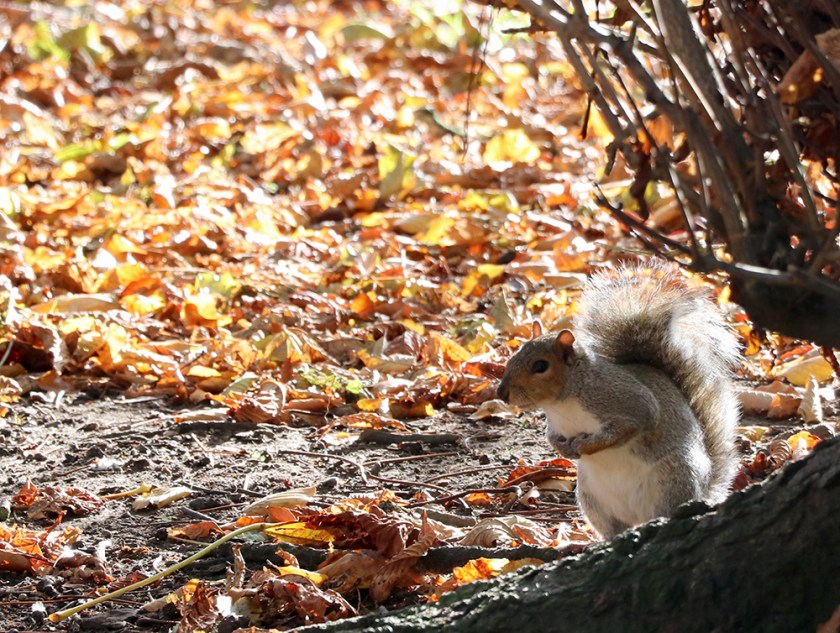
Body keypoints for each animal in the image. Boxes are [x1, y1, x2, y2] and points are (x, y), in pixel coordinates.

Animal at [497, 262, 740, 538]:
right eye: (513, 355)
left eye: (540, 366)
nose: (502, 393)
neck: (562, 404)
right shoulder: (555, 424)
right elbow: (551, 437)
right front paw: (564, 448)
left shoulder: (626, 401)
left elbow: (632, 424)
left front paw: (585, 445)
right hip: (592, 500)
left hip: (674, 480)